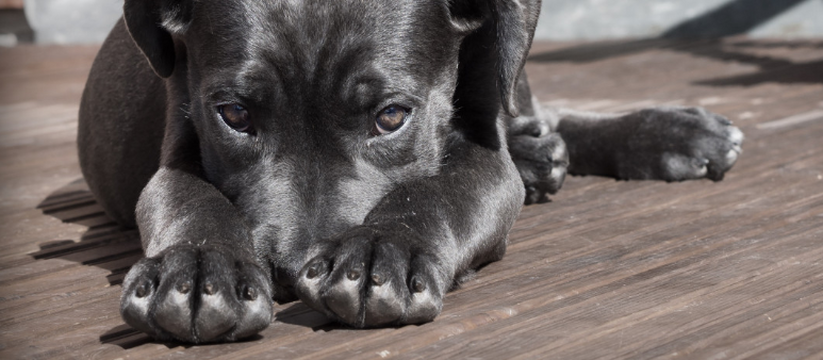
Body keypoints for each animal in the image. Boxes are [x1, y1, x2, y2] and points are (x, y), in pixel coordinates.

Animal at [79, 0, 748, 344]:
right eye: (235, 114)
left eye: (392, 116)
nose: (291, 272)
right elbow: (187, 197)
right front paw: (197, 269)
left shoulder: (483, 153)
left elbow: (441, 189)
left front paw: (384, 251)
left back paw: (669, 133)